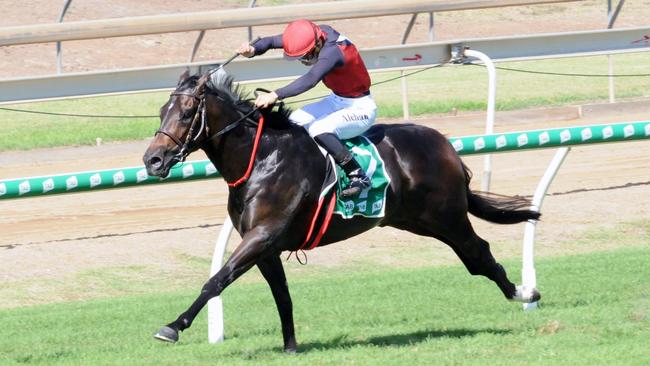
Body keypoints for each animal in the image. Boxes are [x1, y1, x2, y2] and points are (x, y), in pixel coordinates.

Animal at [143, 70, 540, 354]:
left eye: (187, 113)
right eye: (162, 112)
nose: (153, 159)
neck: (261, 158)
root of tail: (446, 145)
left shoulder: (262, 236)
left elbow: (216, 280)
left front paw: (173, 327)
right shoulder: (265, 247)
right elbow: (281, 295)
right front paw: (291, 347)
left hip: (447, 217)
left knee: (479, 253)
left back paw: (524, 294)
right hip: (418, 220)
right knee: (474, 258)